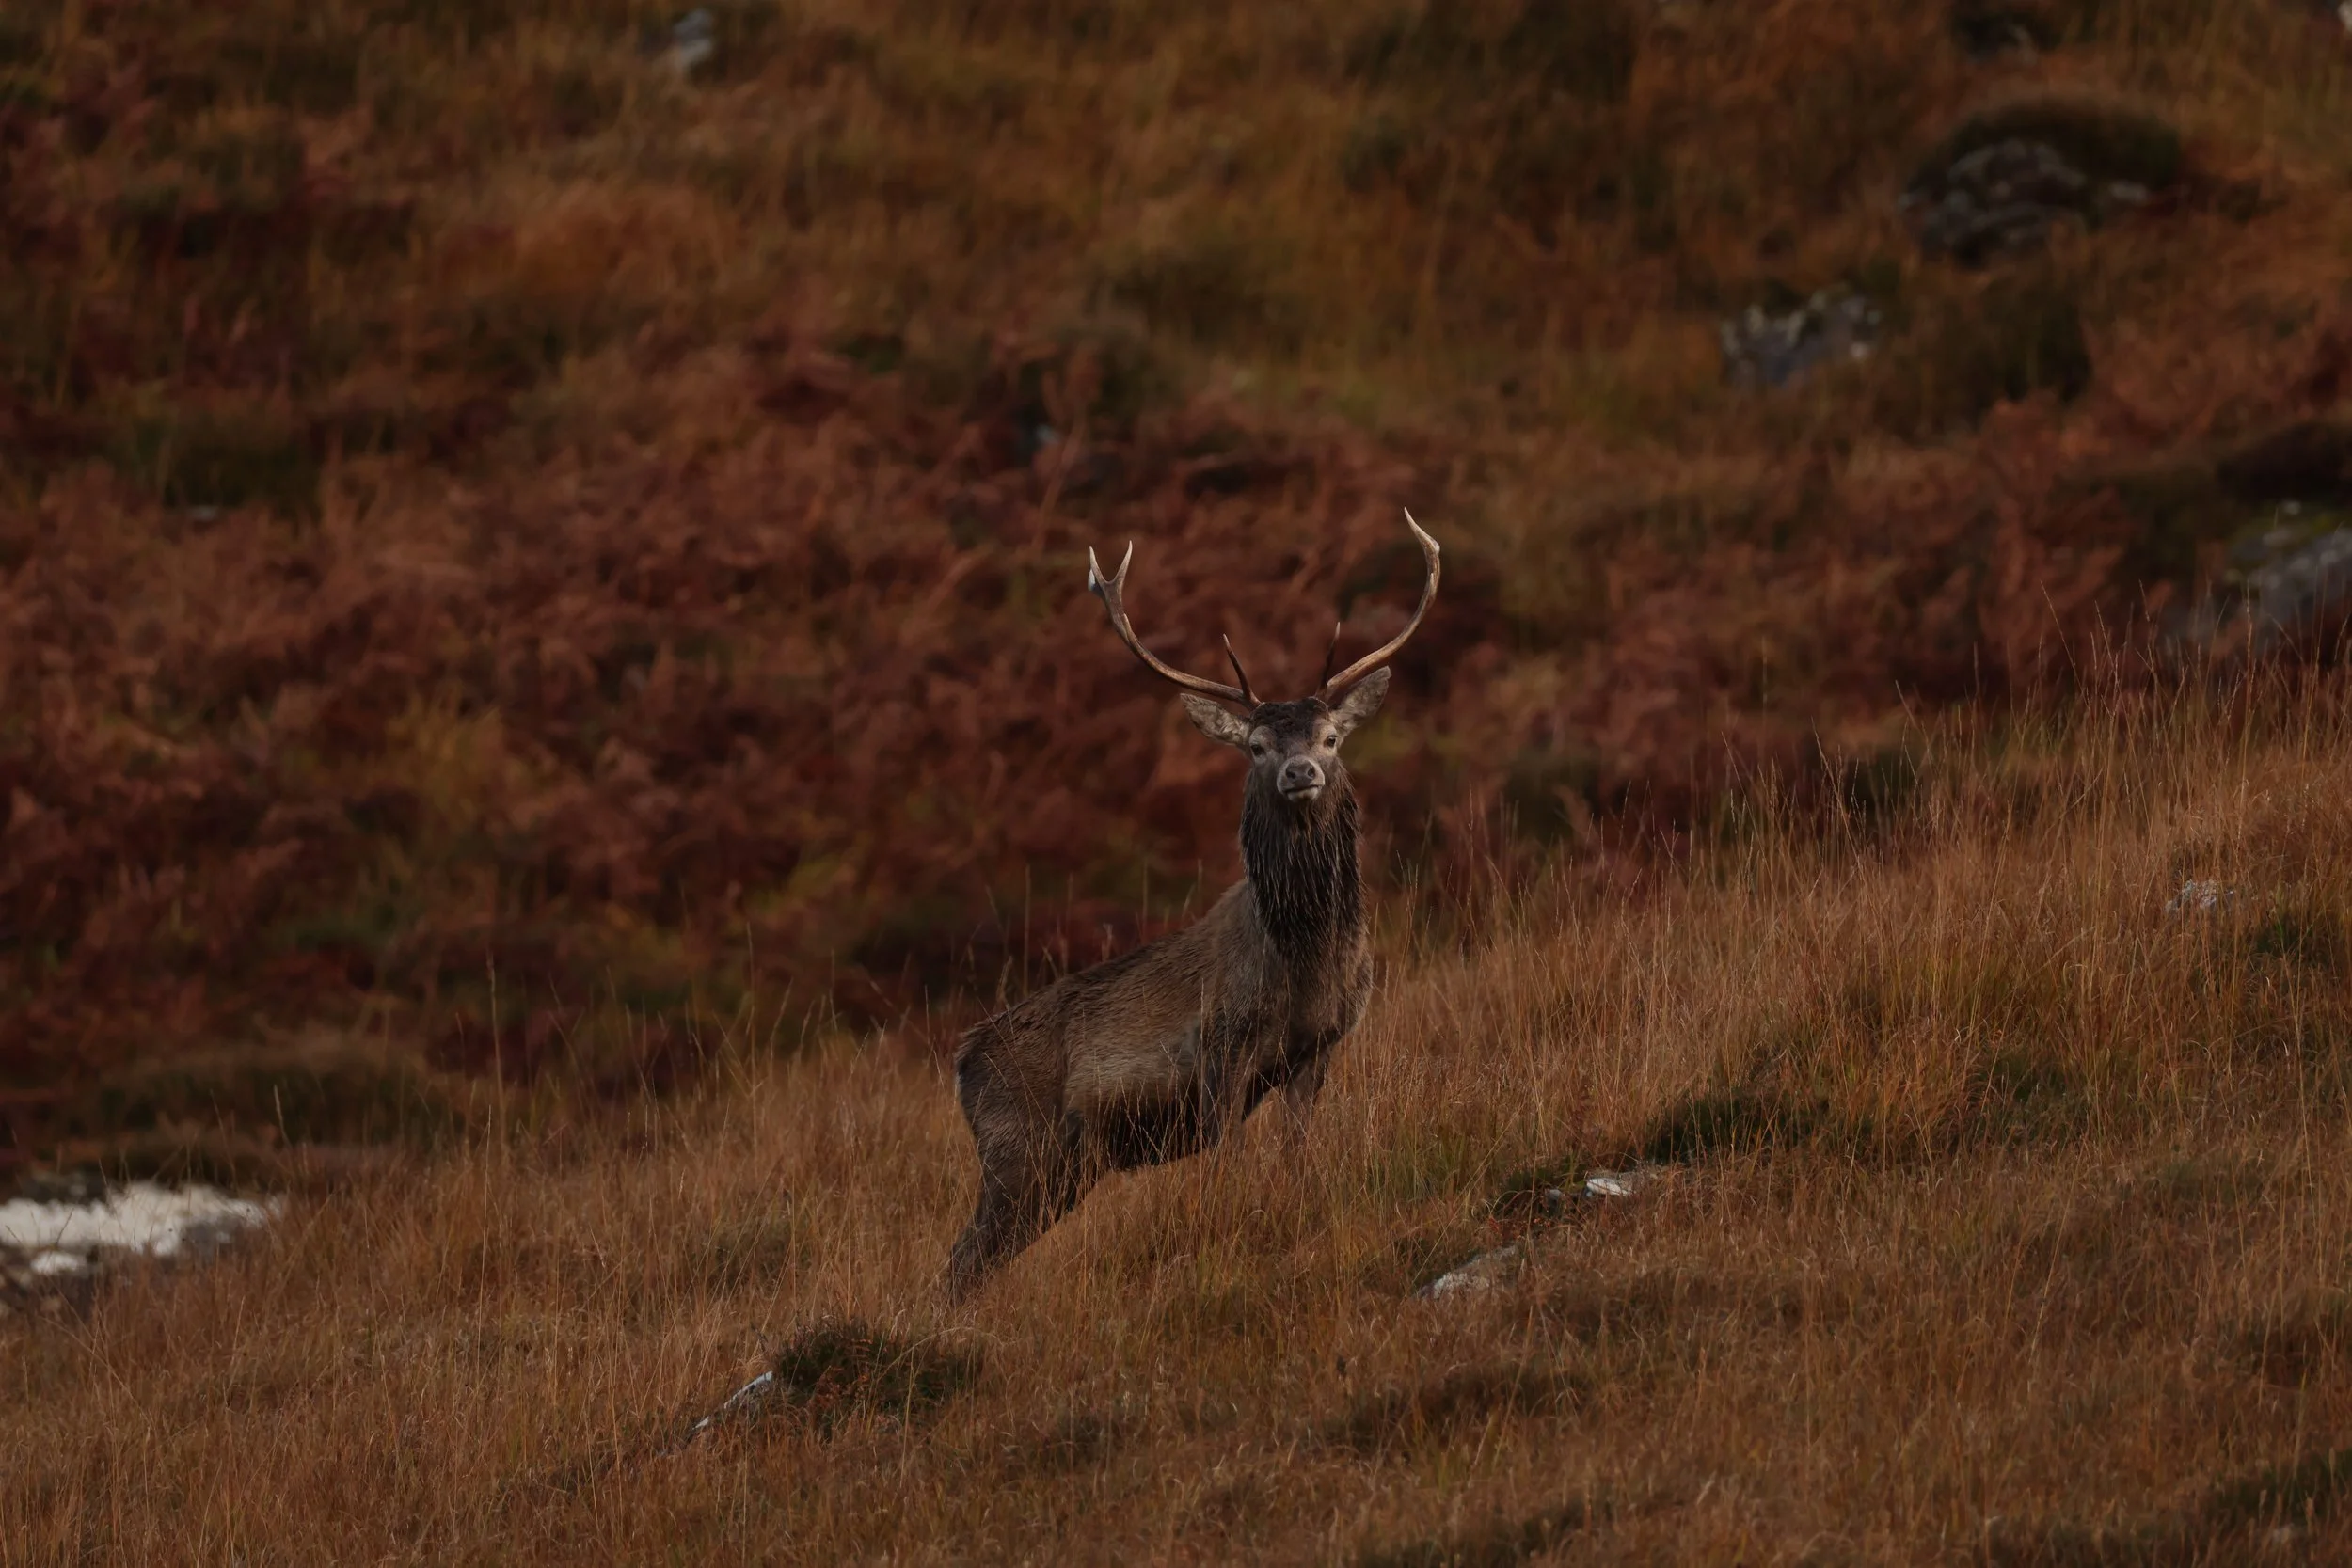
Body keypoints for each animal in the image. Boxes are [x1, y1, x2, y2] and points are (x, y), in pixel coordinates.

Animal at [944, 511, 1441, 1300]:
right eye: (1257, 745)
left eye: (1331, 737)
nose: (1301, 771)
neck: (1305, 961)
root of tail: (961, 1061)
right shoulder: (1220, 1051)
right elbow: (1227, 1170)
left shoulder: (1321, 1045)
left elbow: (1296, 1155)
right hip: (1017, 1145)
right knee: (961, 1259)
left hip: (1059, 1171)